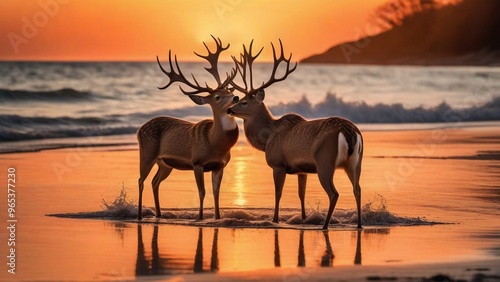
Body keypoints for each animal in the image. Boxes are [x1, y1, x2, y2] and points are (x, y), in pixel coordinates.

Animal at [136, 35, 239, 220]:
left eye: (229, 91)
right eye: (217, 97)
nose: (236, 97)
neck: (216, 143)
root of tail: (139, 129)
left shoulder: (219, 166)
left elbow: (216, 193)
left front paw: (218, 217)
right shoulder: (197, 162)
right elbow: (202, 192)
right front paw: (200, 217)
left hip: (165, 163)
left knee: (155, 182)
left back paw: (159, 214)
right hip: (147, 152)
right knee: (141, 180)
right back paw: (140, 215)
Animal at [227, 40, 364, 229]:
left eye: (244, 102)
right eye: (238, 99)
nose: (229, 109)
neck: (268, 138)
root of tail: (349, 133)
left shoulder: (278, 164)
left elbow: (278, 194)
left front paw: (275, 220)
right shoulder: (302, 170)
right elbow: (301, 194)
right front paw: (304, 218)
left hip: (325, 161)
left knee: (334, 193)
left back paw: (324, 225)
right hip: (355, 163)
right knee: (357, 189)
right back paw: (359, 225)